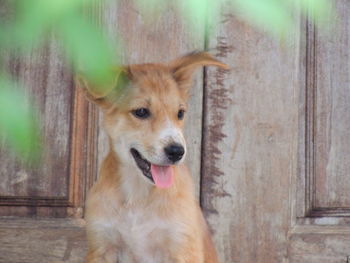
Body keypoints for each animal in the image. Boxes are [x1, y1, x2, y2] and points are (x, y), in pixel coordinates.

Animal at [77, 52, 228, 263]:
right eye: (141, 112)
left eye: (180, 113)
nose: (177, 152)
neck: (138, 196)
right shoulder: (101, 248)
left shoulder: (183, 249)